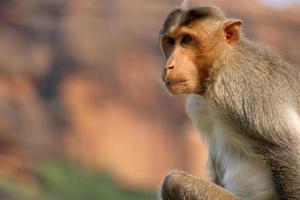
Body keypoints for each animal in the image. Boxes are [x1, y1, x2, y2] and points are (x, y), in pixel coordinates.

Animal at [158, 3, 298, 200]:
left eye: (186, 40)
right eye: (171, 41)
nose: (168, 66)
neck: (220, 65)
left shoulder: (238, 89)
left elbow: (288, 147)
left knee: (172, 181)